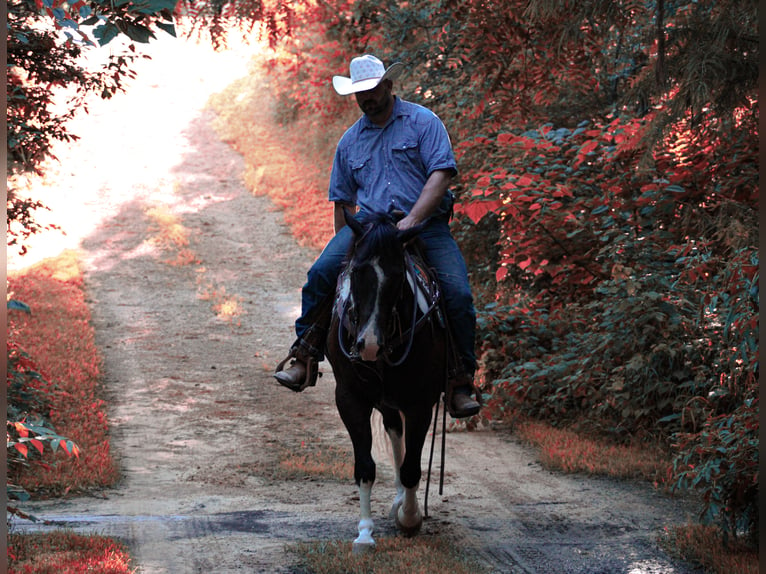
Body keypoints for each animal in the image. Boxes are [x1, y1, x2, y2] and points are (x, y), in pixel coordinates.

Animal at [326, 210, 450, 552]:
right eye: (357, 272)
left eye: (397, 276)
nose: (368, 344)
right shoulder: (350, 398)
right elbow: (365, 467)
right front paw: (365, 533)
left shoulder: (421, 404)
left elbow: (411, 469)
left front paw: (410, 518)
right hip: (386, 400)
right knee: (395, 432)